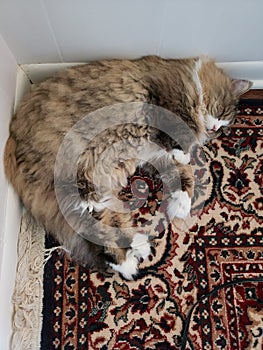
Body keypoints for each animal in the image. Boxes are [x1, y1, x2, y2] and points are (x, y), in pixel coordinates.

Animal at [3, 55, 252, 278]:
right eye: (221, 112)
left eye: (223, 127)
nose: (215, 129)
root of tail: (11, 140)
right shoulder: (163, 99)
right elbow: (180, 139)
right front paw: (184, 154)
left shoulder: (155, 154)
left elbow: (183, 175)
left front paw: (181, 203)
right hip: (76, 179)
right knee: (93, 222)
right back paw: (132, 257)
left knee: (98, 226)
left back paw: (131, 255)